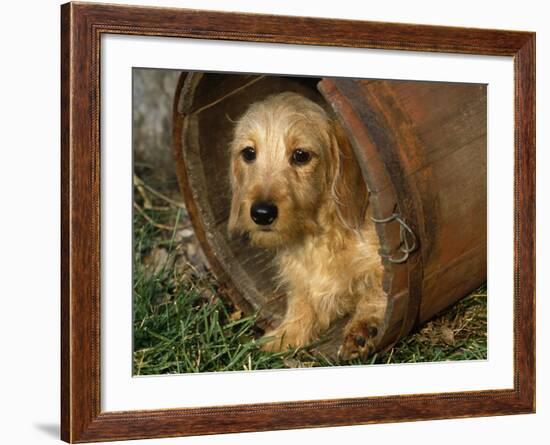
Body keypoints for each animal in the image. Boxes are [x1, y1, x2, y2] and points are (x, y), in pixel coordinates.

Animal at [227, 92, 388, 360]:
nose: (261, 213)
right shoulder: (302, 281)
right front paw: (284, 336)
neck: (318, 237)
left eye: (301, 155)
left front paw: (364, 327)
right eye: (249, 153)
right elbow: (302, 304)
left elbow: (376, 290)